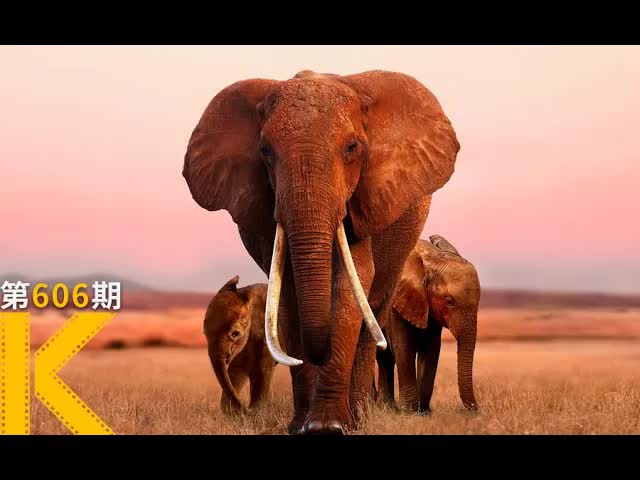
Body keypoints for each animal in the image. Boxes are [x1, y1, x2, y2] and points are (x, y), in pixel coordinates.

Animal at [203, 275, 275, 415]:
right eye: (204, 333)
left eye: (235, 334)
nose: (246, 407)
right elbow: (237, 370)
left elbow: (262, 370)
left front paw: (257, 411)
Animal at [376, 235, 480, 413]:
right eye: (449, 301)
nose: (478, 408)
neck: (433, 258)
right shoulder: (395, 302)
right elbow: (404, 348)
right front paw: (408, 412)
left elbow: (431, 350)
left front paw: (423, 411)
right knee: (382, 356)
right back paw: (382, 407)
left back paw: (387, 408)